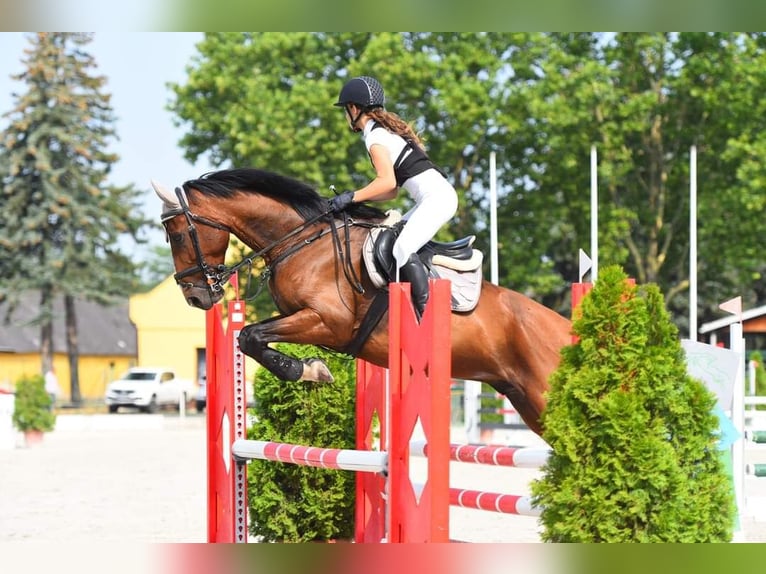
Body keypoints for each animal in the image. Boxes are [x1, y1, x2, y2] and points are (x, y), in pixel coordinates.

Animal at [152, 166, 568, 436]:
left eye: (177, 234)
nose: (195, 296)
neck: (301, 242)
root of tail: (566, 329)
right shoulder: (302, 318)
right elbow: (249, 337)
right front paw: (309, 370)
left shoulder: (328, 322)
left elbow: (251, 336)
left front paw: (311, 370)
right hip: (527, 403)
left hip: (542, 396)